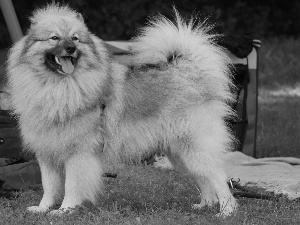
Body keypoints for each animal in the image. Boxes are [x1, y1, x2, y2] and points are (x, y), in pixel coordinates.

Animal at [5, 3, 238, 216]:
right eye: (54, 38)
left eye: (75, 38)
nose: (70, 48)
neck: (56, 87)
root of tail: (190, 73)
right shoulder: (46, 153)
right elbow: (49, 186)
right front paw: (42, 208)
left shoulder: (78, 154)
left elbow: (72, 185)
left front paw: (65, 210)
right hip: (180, 153)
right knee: (204, 179)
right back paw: (205, 205)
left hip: (194, 147)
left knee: (219, 178)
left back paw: (226, 211)